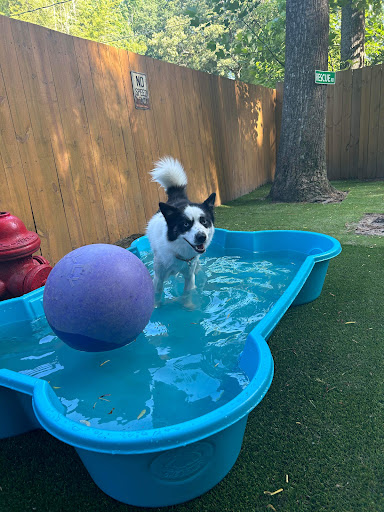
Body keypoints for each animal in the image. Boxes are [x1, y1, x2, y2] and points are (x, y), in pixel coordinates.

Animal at [146, 157, 214, 304]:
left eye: (204, 221)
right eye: (186, 224)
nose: (202, 237)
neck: (176, 250)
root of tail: (178, 198)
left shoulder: (189, 275)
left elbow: (188, 292)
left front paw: (187, 306)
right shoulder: (158, 277)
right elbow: (157, 294)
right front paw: (157, 307)